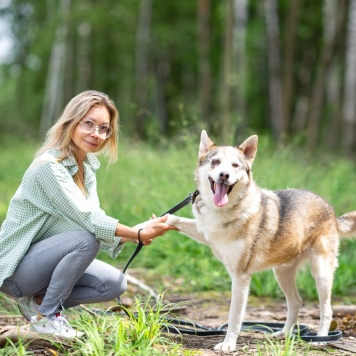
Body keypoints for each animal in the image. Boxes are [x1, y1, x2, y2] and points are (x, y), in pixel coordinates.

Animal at [167, 131, 356, 354]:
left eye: (235, 166)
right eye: (215, 162)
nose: (224, 175)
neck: (225, 210)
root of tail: (331, 210)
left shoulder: (240, 277)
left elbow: (234, 316)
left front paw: (228, 344)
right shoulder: (206, 233)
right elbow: (178, 220)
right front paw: (157, 223)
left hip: (321, 273)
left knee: (326, 309)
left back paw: (320, 338)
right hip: (281, 273)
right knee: (296, 302)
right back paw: (284, 334)